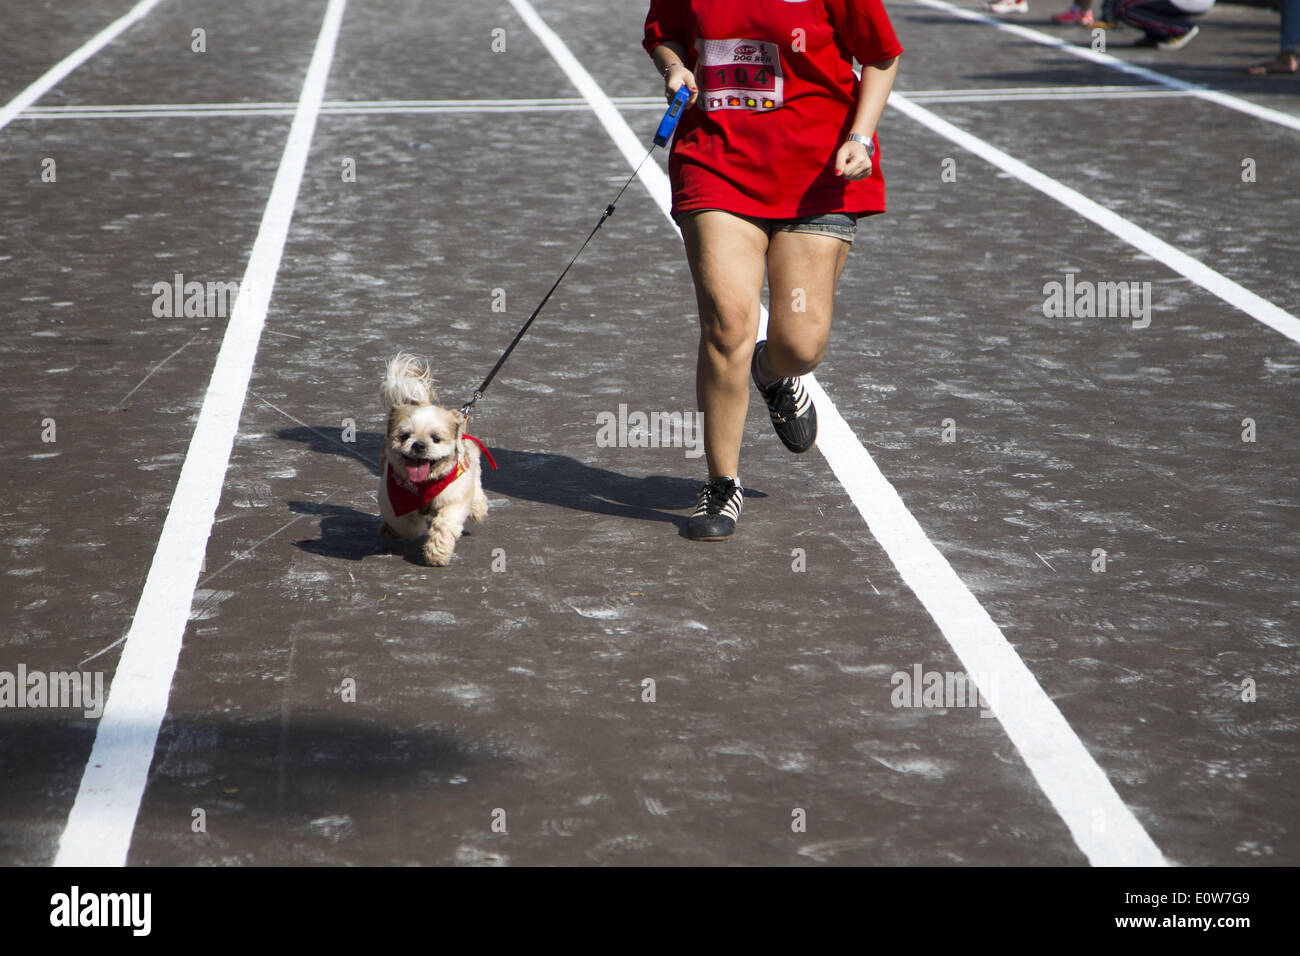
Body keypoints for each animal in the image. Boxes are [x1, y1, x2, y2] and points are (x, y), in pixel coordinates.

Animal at [379, 353, 496, 564]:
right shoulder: (390, 498)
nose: (418, 445)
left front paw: (437, 553)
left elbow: (444, 525)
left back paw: (478, 508)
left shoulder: (454, 499)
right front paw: (413, 527)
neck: (425, 485)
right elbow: (405, 523)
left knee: (476, 491)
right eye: (404, 436)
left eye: (436, 438)